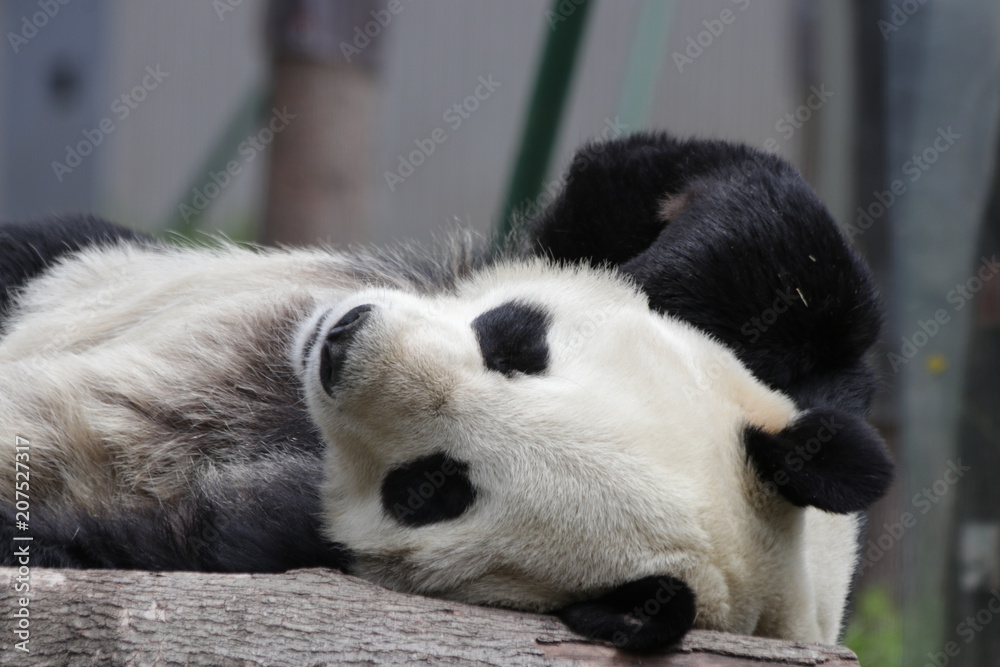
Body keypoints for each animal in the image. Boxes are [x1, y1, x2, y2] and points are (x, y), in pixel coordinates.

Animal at [0, 133, 892, 652]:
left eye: (433, 487)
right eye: (515, 342)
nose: (343, 342)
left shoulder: (282, 544)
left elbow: (118, 541)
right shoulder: (802, 389)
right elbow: (757, 224)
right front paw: (644, 277)